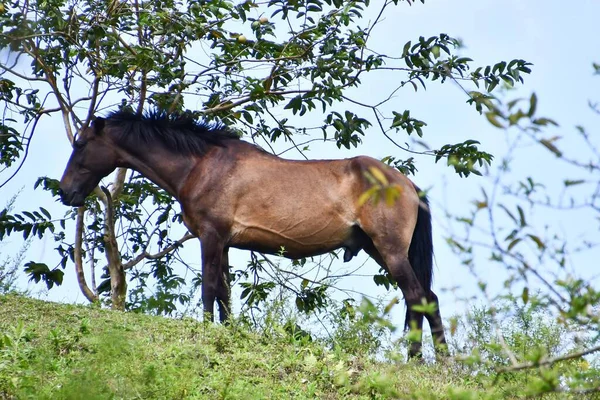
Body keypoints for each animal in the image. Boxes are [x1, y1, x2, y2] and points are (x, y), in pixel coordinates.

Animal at [58, 109, 448, 356]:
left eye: (81, 145)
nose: (65, 192)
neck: (201, 166)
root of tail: (408, 184)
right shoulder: (225, 244)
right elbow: (224, 296)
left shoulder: (211, 237)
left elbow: (209, 289)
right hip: (377, 249)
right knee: (421, 298)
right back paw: (428, 360)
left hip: (390, 250)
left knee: (419, 296)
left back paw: (428, 361)